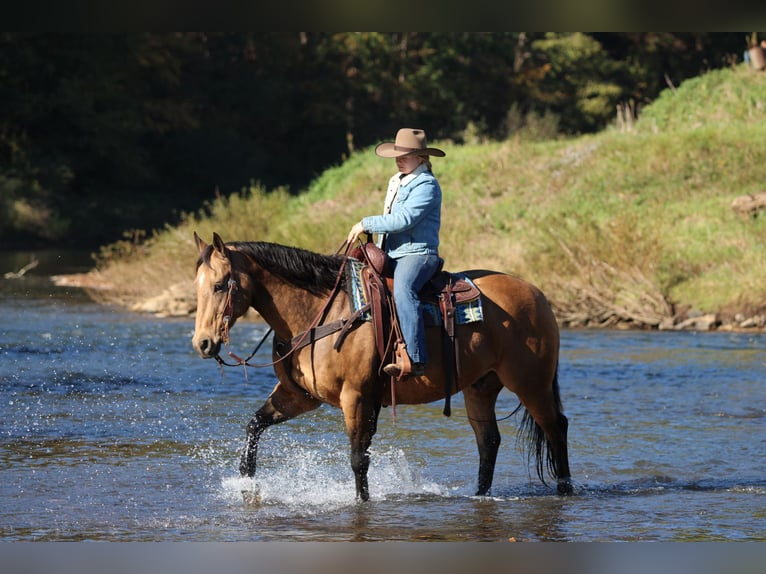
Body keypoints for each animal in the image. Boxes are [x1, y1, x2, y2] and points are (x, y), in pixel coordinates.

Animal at [192, 232, 572, 501]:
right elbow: (254, 425)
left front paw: (362, 502)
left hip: (531, 383)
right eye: (197, 286)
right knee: (488, 441)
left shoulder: (356, 397)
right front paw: (246, 481)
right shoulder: (299, 396)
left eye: (220, 284)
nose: (203, 343)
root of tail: (537, 294)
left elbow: (358, 458)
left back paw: (565, 488)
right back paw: (480, 495)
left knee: (555, 427)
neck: (320, 312)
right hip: (480, 386)